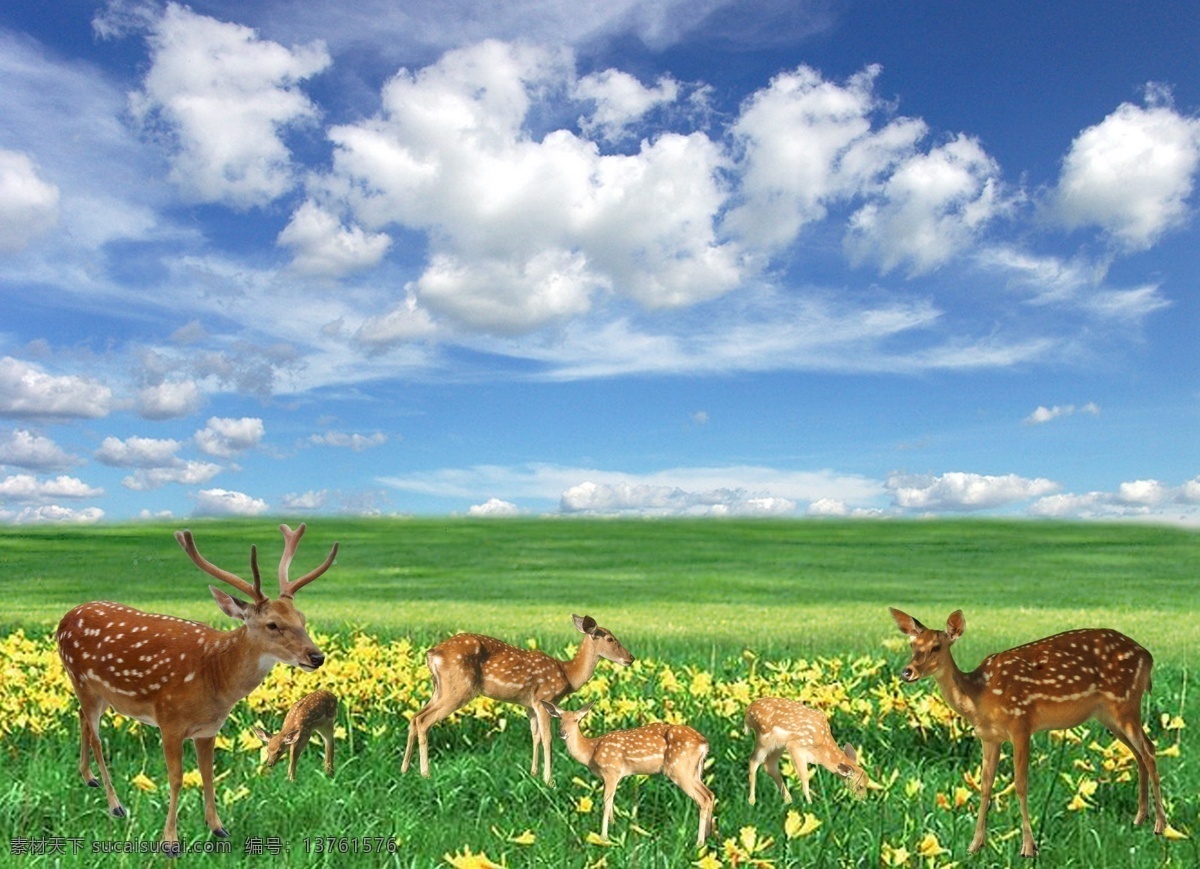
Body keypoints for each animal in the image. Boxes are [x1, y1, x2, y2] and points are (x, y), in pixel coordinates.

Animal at [56, 524, 337, 855]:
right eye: (272, 624)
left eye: (302, 619)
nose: (316, 657)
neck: (214, 675)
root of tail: (64, 619)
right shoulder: (169, 720)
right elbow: (176, 778)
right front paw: (170, 842)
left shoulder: (208, 728)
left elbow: (207, 773)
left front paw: (218, 827)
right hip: (81, 678)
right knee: (98, 738)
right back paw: (116, 805)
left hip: (91, 690)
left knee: (81, 717)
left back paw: (88, 777)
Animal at [401, 615, 634, 785]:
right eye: (610, 639)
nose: (631, 658)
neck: (567, 674)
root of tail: (432, 654)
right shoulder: (543, 698)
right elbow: (548, 738)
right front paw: (549, 781)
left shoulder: (530, 705)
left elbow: (535, 736)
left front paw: (533, 773)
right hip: (459, 689)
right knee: (424, 720)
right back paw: (425, 773)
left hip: (440, 689)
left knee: (415, 716)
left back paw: (404, 769)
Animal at [542, 700, 715, 846]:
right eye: (560, 719)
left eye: (576, 720)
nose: (562, 733)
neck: (591, 751)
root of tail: (704, 743)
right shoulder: (612, 776)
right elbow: (611, 802)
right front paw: (614, 829)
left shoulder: (611, 770)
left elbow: (606, 802)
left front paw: (604, 837)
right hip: (693, 771)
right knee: (710, 794)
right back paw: (708, 836)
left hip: (678, 768)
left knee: (703, 798)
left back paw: (699, 843)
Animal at [889, 607, 1166, 858]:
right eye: (912, 644)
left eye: (937, 647)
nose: (907, 672)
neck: (979, 696)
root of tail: (1149, 657)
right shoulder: (989, 737)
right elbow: (985, 785)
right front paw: (974, 845)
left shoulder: (1021, 723)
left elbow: (1021, 784)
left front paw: (1028, 847)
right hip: (1109, 715)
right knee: (1139, 753)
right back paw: (1139, 819)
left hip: (1125, 703)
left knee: (1149, 750)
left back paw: (1160, 825)